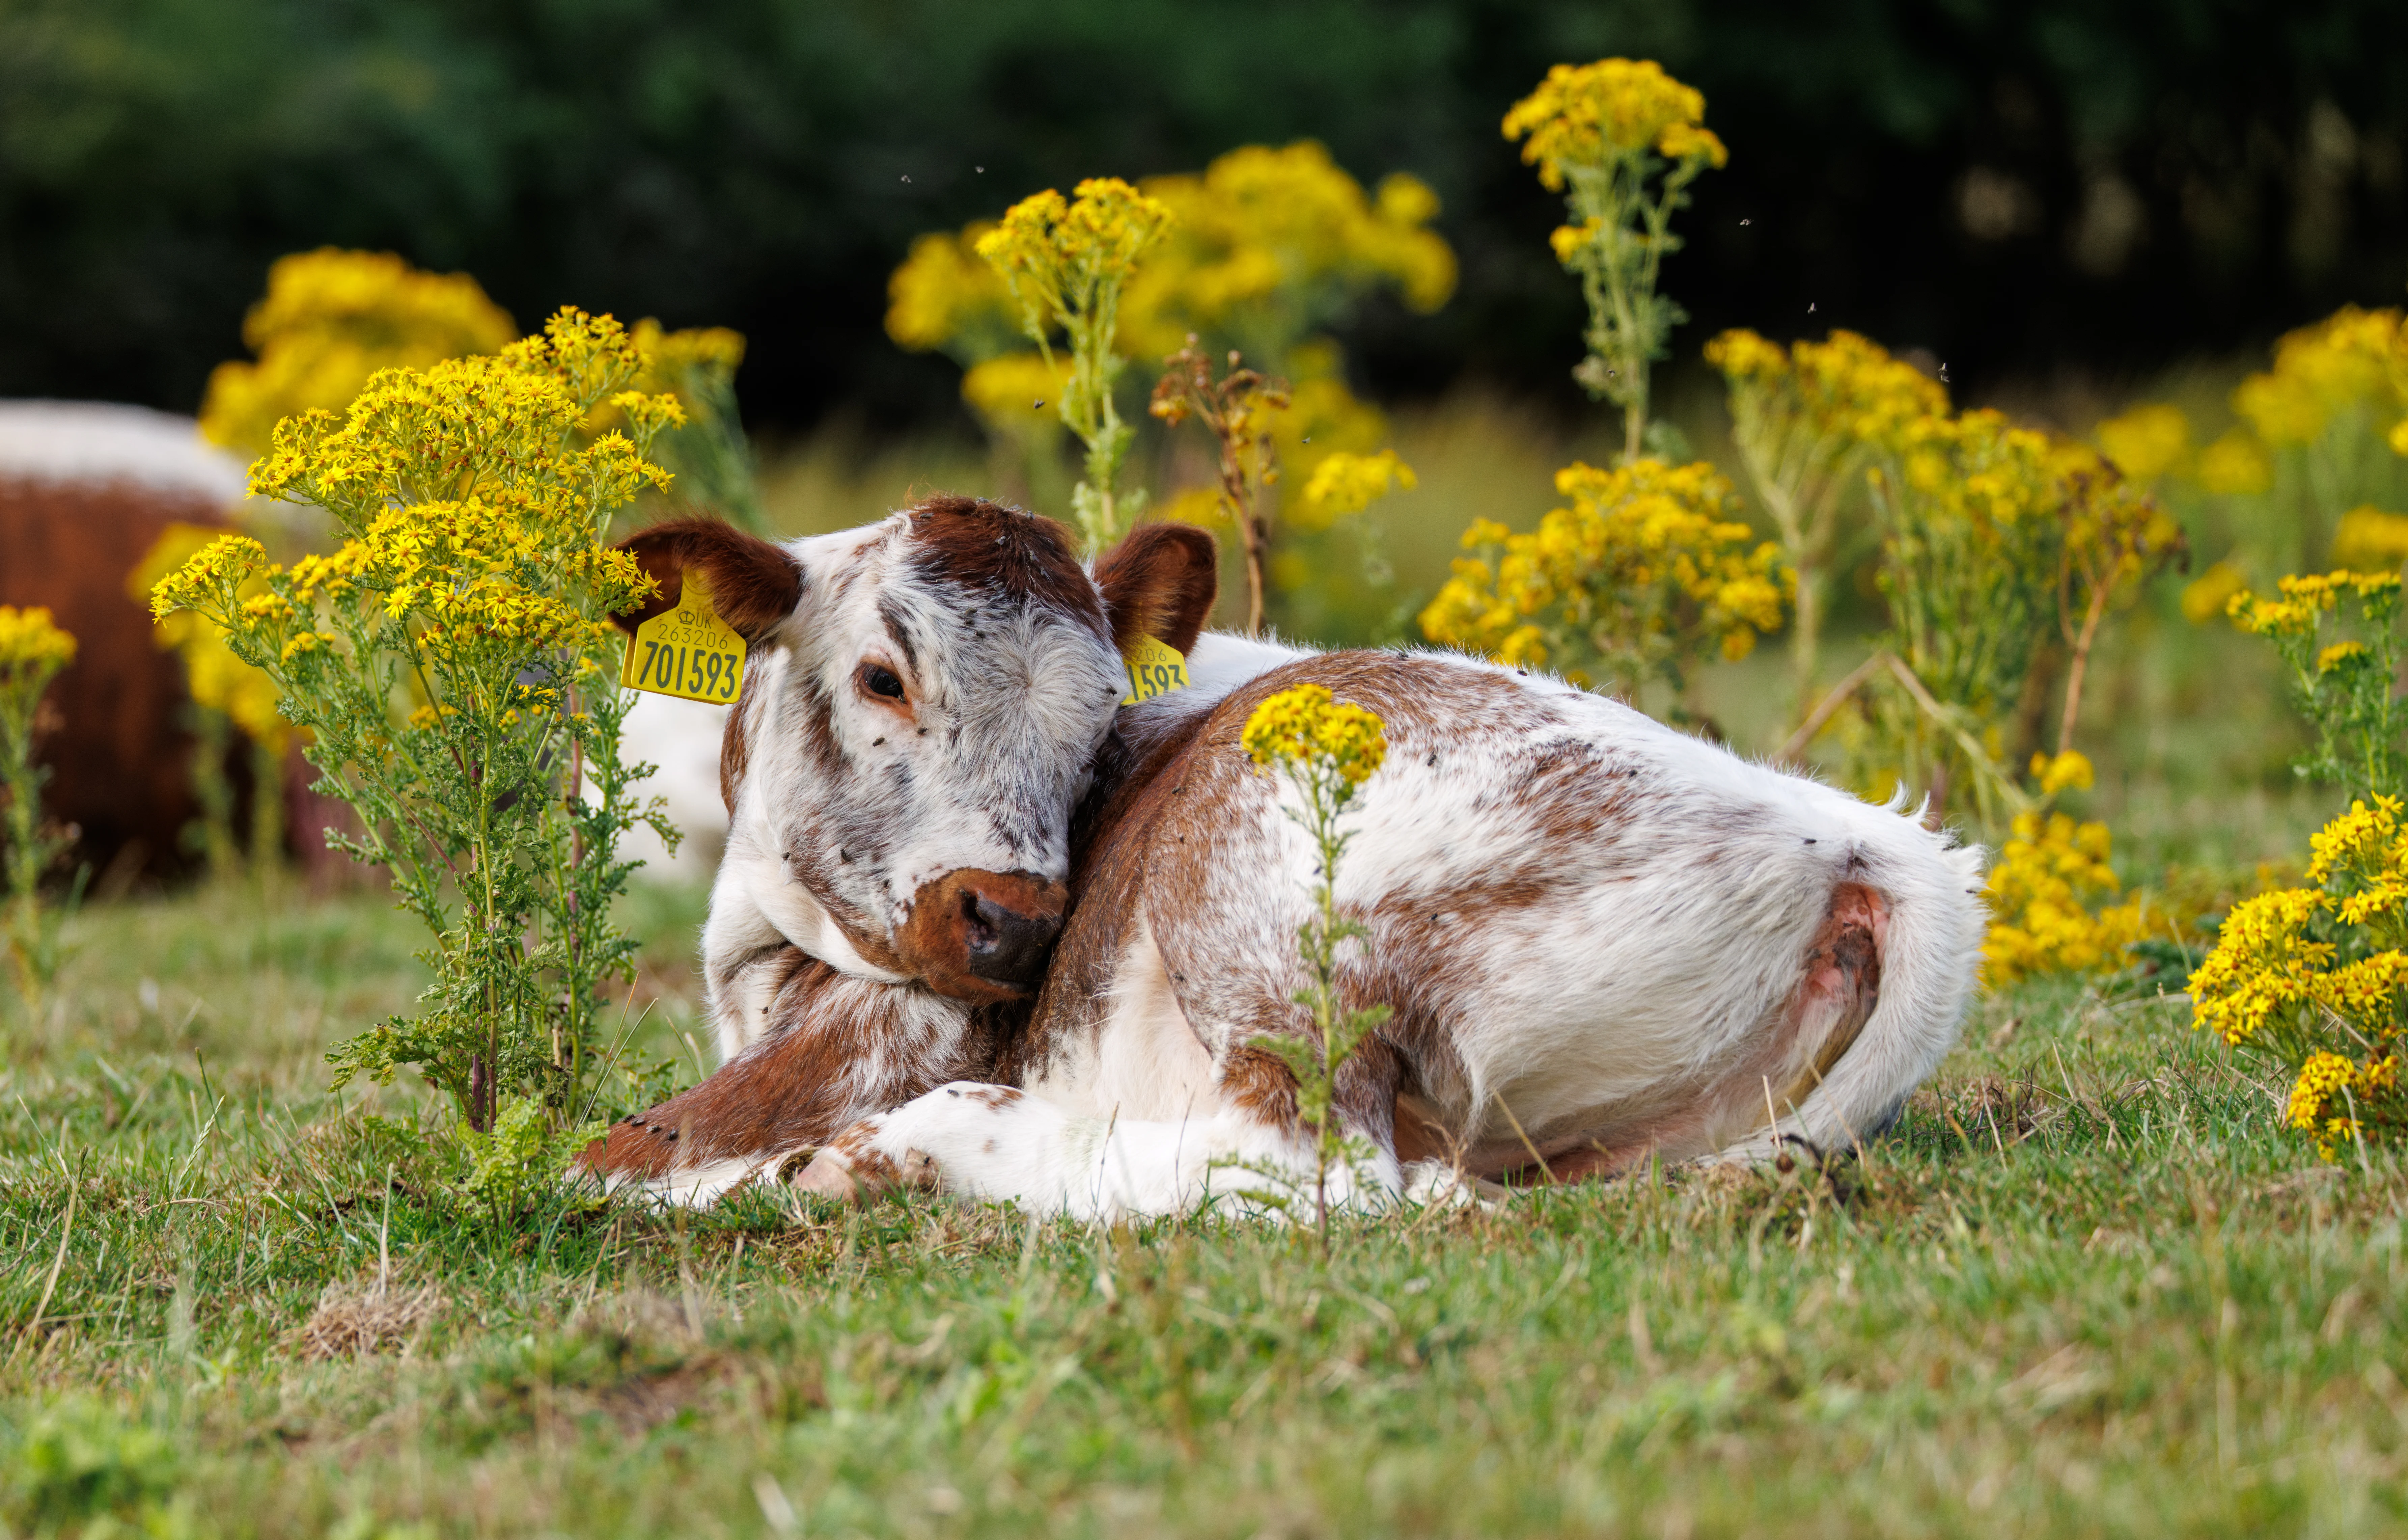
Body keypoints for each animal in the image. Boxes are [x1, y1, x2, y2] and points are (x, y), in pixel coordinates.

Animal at [594, 496, 1987, 1218]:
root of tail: (1857, 831)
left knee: (1315, 1164)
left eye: (1100, 711)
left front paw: (737, 1168)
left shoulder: (898, 1029)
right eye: (882, 675)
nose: (1017, 921)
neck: (757, 948)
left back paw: (895, 1151)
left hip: (1267, 898)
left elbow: (609, 1158)